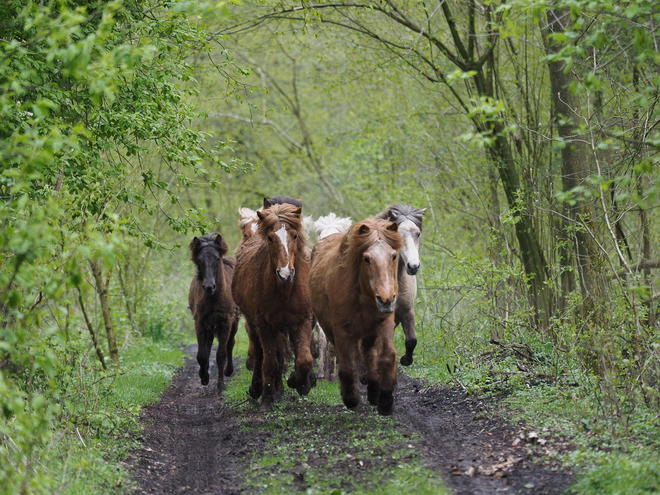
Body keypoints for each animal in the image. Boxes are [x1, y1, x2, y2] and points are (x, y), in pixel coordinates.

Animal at [188, 234, 240, 394]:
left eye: (217, 259)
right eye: (199, 260)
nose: (209, 287)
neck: (213, 298)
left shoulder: (225, 322)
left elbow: (221, 354)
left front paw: (221, 385)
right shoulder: (200, 322)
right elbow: (202, 355)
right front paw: (204, 377)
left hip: (234, 323)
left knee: (230, 343)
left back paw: (229, 370)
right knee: (208, 346)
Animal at [231, 202, 316, 410]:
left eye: (295, 236)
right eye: (270, 238)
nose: (285, 274)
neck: (285, 290)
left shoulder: (302, 320)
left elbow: (304, 360)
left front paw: (299, 382)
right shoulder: (265, 325)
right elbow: (269, 363)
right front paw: (267, 399)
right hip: (255, 326)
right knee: (260, 354)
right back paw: (258, 388)